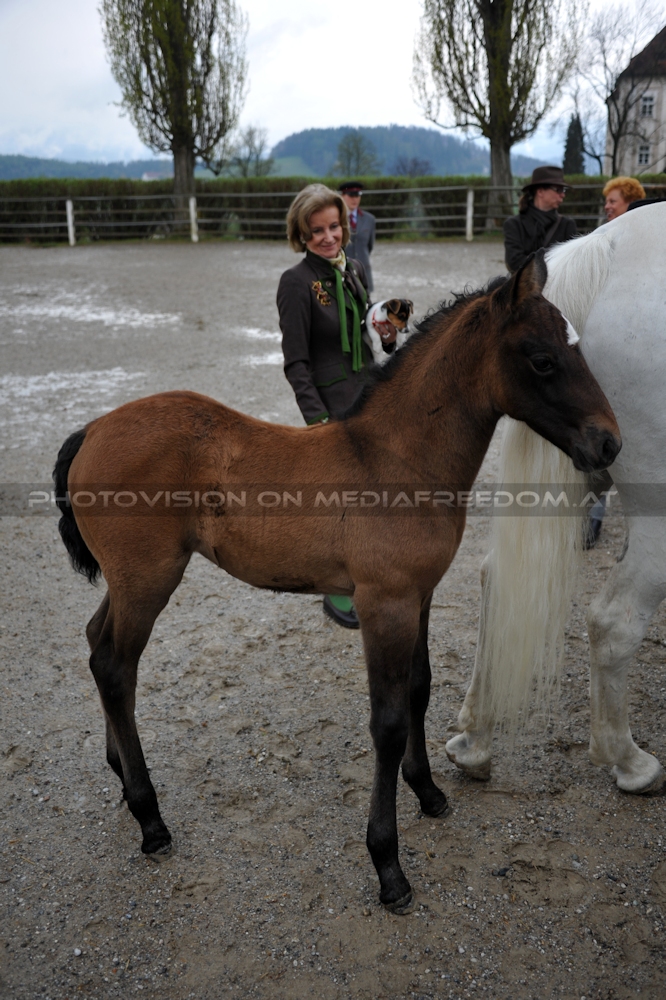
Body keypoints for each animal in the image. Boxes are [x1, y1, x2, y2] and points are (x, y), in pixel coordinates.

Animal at [53, 254, 620, 913]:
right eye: (542, 359)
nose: (608, 442)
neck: (397, 461)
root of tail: (94, 428)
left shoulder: (419, 597)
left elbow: (420, 689)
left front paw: (429, 793)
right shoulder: (384, 605)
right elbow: (388, 722)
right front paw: (389, 866)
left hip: (127, 581)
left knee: (95, 644)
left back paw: (121, 775)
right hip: (148, 578)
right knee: (116, 667)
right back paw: (150, 819)